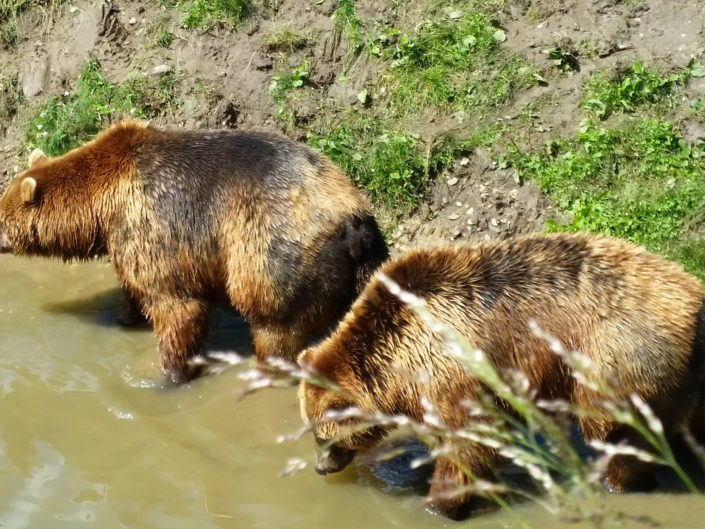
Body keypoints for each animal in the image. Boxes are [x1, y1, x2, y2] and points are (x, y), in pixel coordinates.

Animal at [0, 120, 389, 383]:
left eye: (0, 216)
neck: (102, 202)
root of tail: (353, 217)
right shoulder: (125, 238)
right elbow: (132, 286)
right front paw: (125, 316)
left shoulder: (153, 224)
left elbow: (176, 307)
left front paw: (170, 373)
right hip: (365, 267)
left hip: (275, 254)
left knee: (275, 328)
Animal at [297, 232, 705, 519]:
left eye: (321, 434)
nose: (320, 467)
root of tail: (692, 298)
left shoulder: (452, 370)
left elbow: (467, 442)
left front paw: (441, 503)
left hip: (614, 358)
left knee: (615, 433)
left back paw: (622, 481)